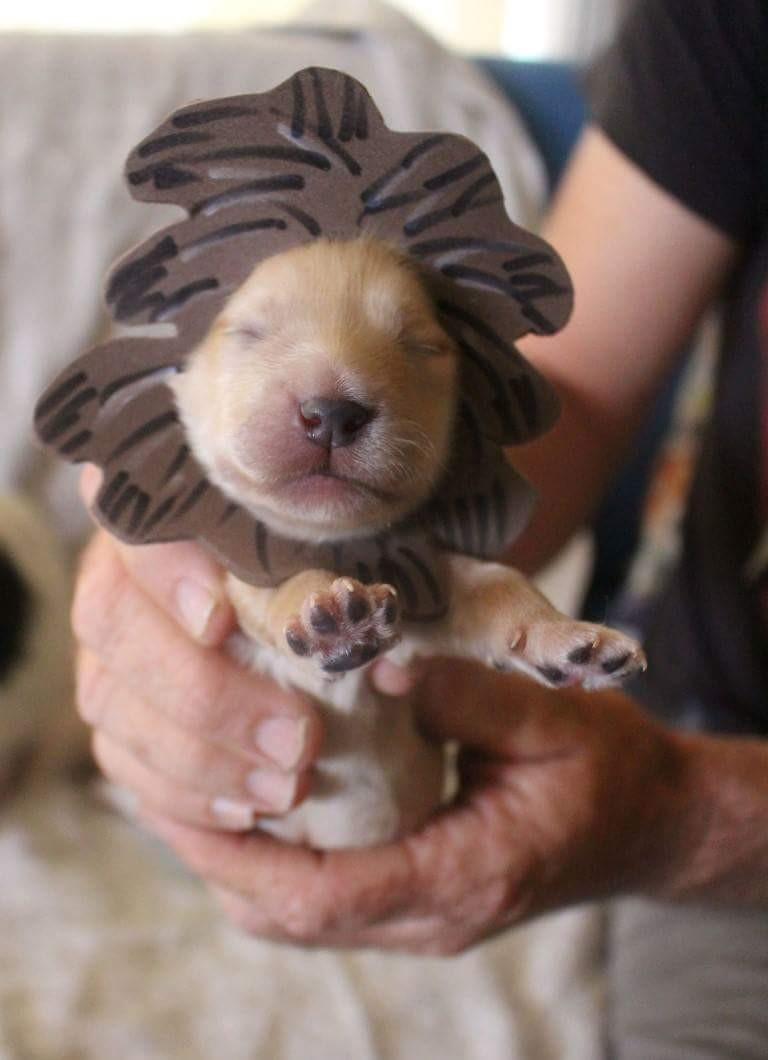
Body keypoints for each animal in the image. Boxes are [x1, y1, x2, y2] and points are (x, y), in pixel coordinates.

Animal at [170, 236, 644, 847]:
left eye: (421, 346)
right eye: (248, 332)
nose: (332, 413)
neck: (337, 539)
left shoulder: (430, 588)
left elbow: (499, 585)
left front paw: (568, 639)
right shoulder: (239, 568)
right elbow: (280, 584)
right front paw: (334, 620)